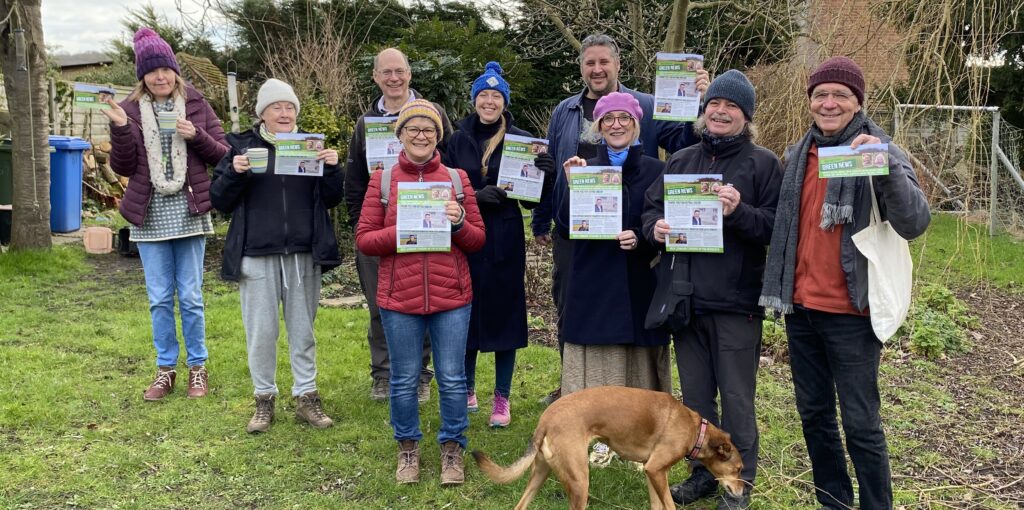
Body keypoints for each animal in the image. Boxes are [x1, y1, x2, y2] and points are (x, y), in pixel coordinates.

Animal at [471, 387, 745, 510]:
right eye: (739, 469)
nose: (742, 492)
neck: (695, 430)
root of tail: (545, 420)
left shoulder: (653, 473)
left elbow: (658, 505)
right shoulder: (657, 470)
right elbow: (669, 506)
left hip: (541, 473)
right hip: (579, 482)